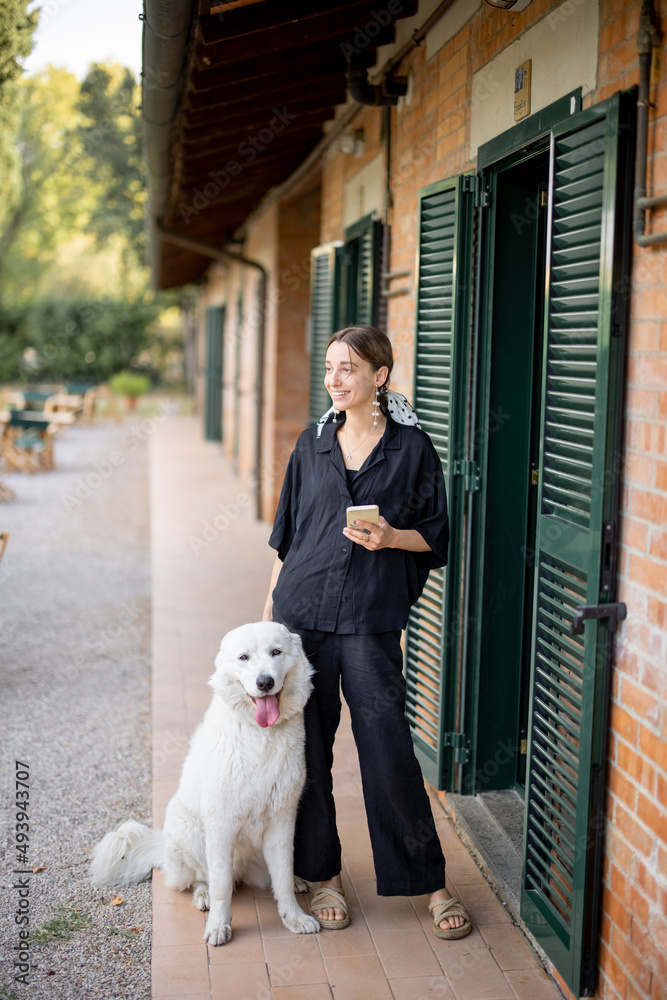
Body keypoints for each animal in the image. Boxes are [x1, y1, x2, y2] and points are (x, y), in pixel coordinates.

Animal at [90, 620, 320, 940]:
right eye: (243, 657)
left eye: (276, 652)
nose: (264, 682)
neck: (260, 735)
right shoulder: (221, 824)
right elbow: (222, 885)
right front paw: (219, 926)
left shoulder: (282, 819)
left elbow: (283, 878)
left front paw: (294, 917)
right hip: (190, 834)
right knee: (199, 879)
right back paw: (204, 896)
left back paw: (297, 881)